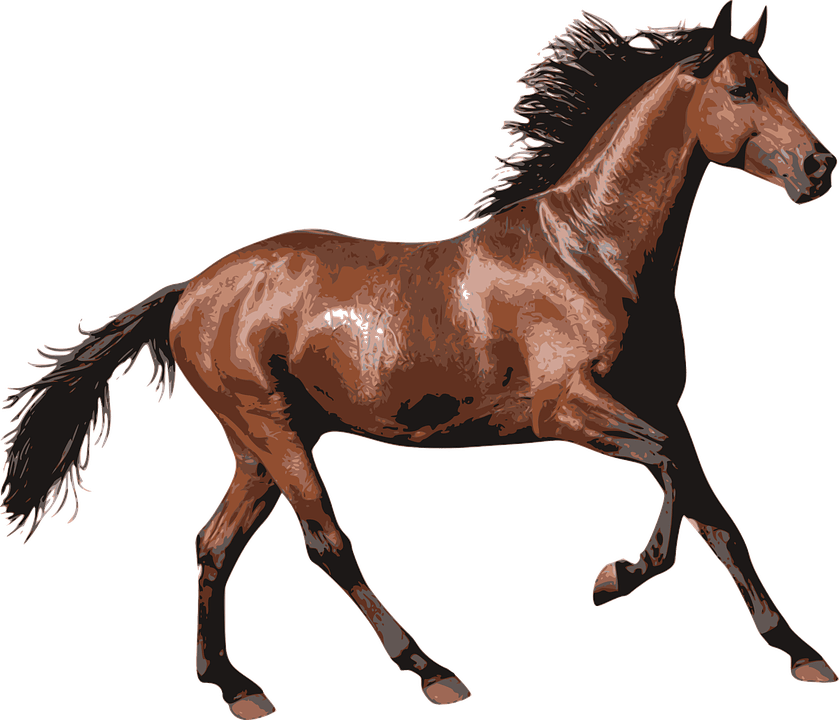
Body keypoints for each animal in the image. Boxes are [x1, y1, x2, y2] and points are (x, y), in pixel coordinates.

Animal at [2, 3, 836, 718]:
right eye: (739, 88)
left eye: (782, 85)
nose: (818, 165)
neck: (589, 256)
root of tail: (190, 291)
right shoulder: (568, 409)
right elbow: (668, 477)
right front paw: (612, 578)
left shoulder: (662, 405)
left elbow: (715, 516)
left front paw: (799, 653)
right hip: (274, 432)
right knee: (326, 545)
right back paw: (429, 671)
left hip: (256, 448)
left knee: (215, 545)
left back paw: (234, 685)